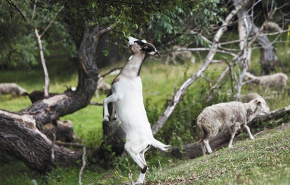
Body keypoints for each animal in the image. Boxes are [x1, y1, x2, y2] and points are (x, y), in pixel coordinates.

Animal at [103, 36, 170, 184]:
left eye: (139, 42)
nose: (128, 38)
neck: (130, 74)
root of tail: (150, 140)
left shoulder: (116, 95)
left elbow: (105, 100)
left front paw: (105, 117)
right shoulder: (115, 98)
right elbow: (113, 108)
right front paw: (112, 117)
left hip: (130, 149)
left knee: (144, 166)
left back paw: (136, 182)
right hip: (140, 152)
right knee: (145, 165)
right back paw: (138, 182)